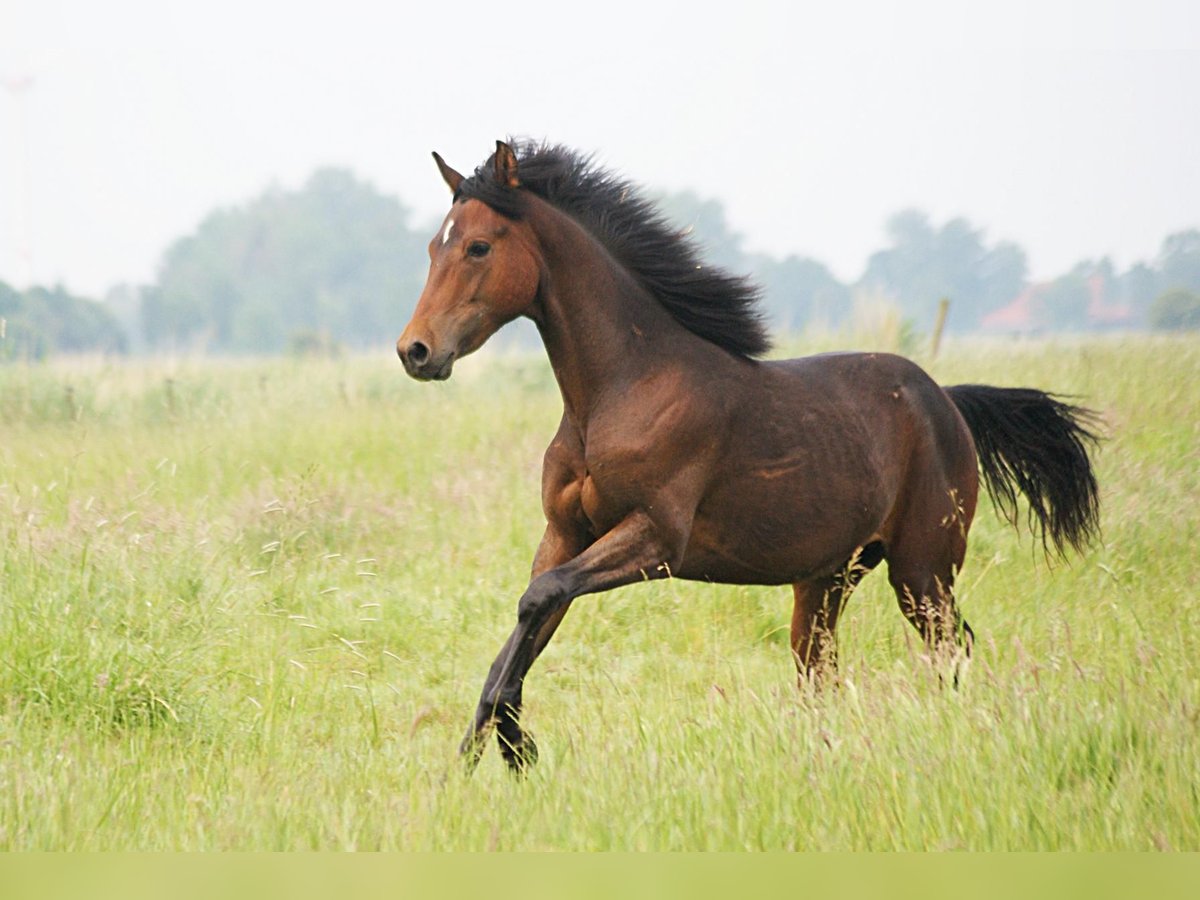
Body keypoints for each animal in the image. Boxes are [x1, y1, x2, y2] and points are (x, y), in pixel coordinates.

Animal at [396, 141, 1099, 777]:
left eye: (478, 247)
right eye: (431, 247)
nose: (416, 351)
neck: (621, 388)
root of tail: (946, 401)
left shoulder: (656, 539)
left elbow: (535, 602)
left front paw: (514, 749)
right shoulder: (566, 534)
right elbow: (528, 618)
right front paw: (482, 758)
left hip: (923, 570)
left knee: (949, 650)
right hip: (827, 580)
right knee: (822, 673)